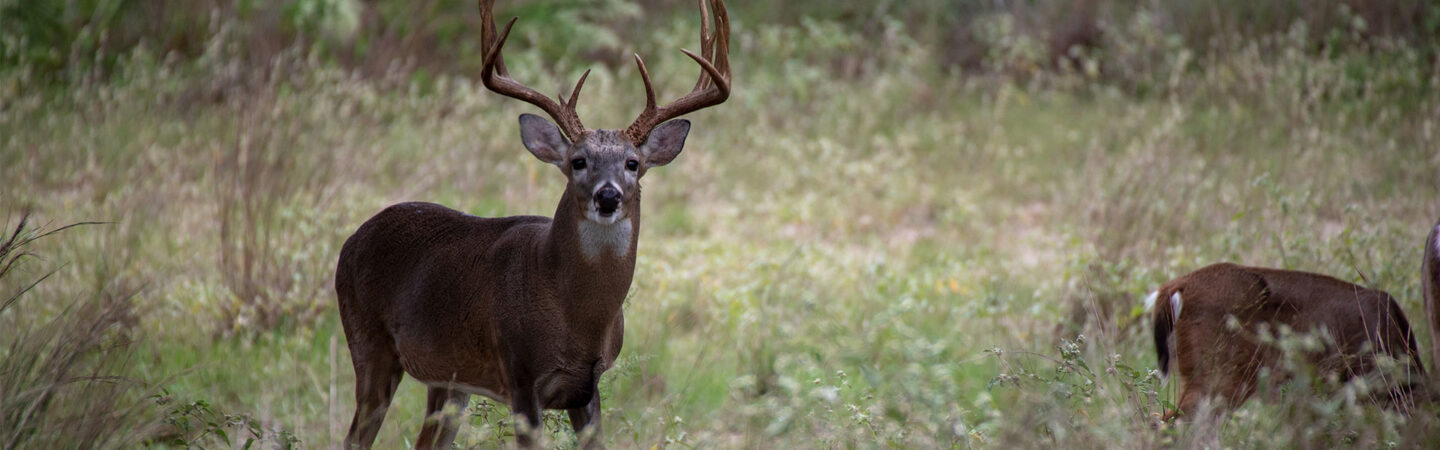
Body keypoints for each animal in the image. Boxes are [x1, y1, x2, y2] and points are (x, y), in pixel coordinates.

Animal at [335, 1, 731, 447]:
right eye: (578, 161)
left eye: (633, 163)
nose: (608, 196)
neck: (576, 315)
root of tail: (352, 240)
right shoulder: (520, 375)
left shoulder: (589, 387)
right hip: (368, 343)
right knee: (356, 435)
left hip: (449, 378)